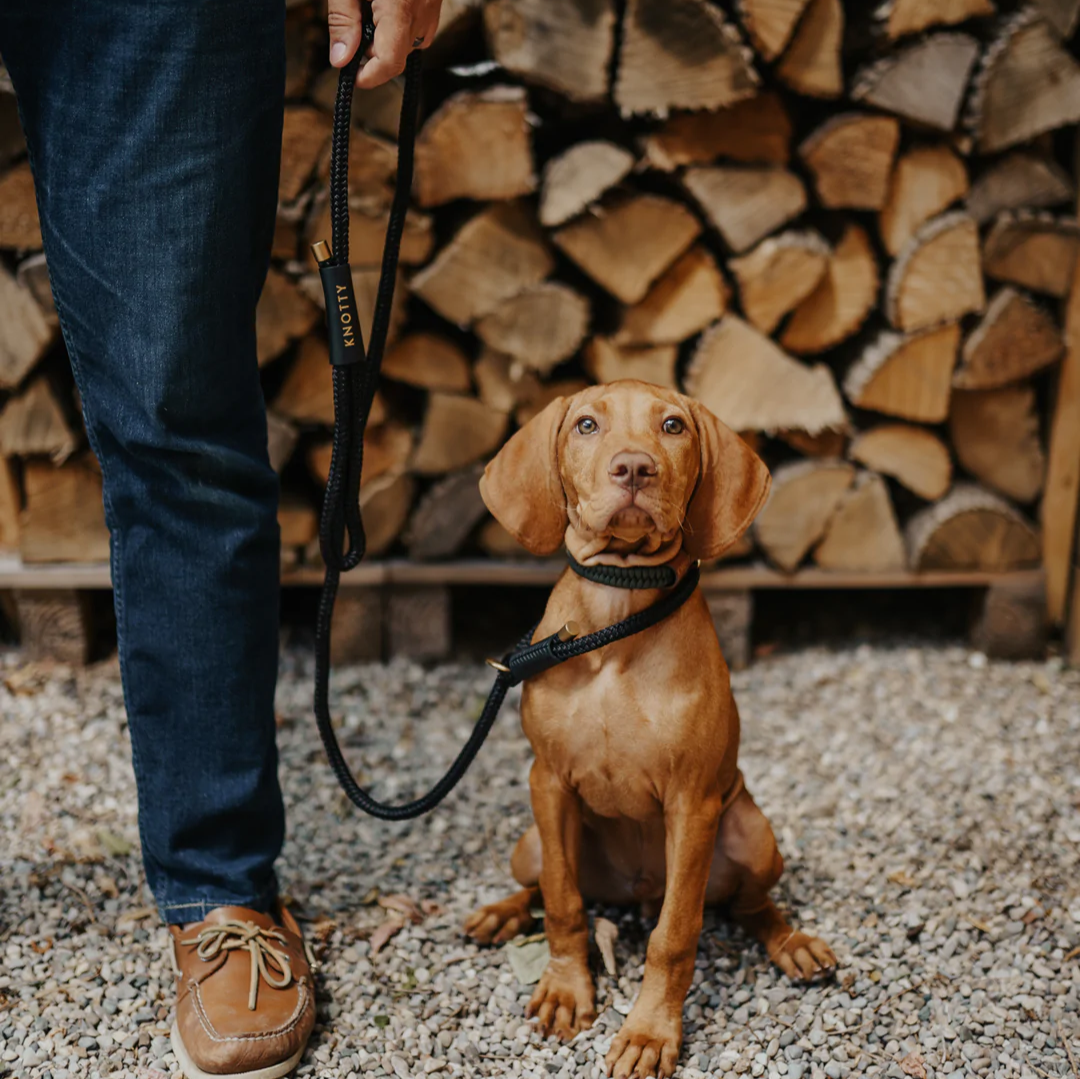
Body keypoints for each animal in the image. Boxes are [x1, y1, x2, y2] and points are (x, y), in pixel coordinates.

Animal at [462, 382, 833, 1079]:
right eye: (585, 425)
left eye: (673, 427)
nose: (634, 468)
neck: (617, 617)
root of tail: (634, 891)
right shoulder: (548, 782)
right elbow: (562, 901)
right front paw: (565, 989)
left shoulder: (692, 804)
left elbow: (675, 933)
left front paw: (649, 1031)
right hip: (530, 841)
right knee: (536, 883)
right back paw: (500, 913)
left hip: (753, 834)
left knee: (748, 906)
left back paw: (791, 942)